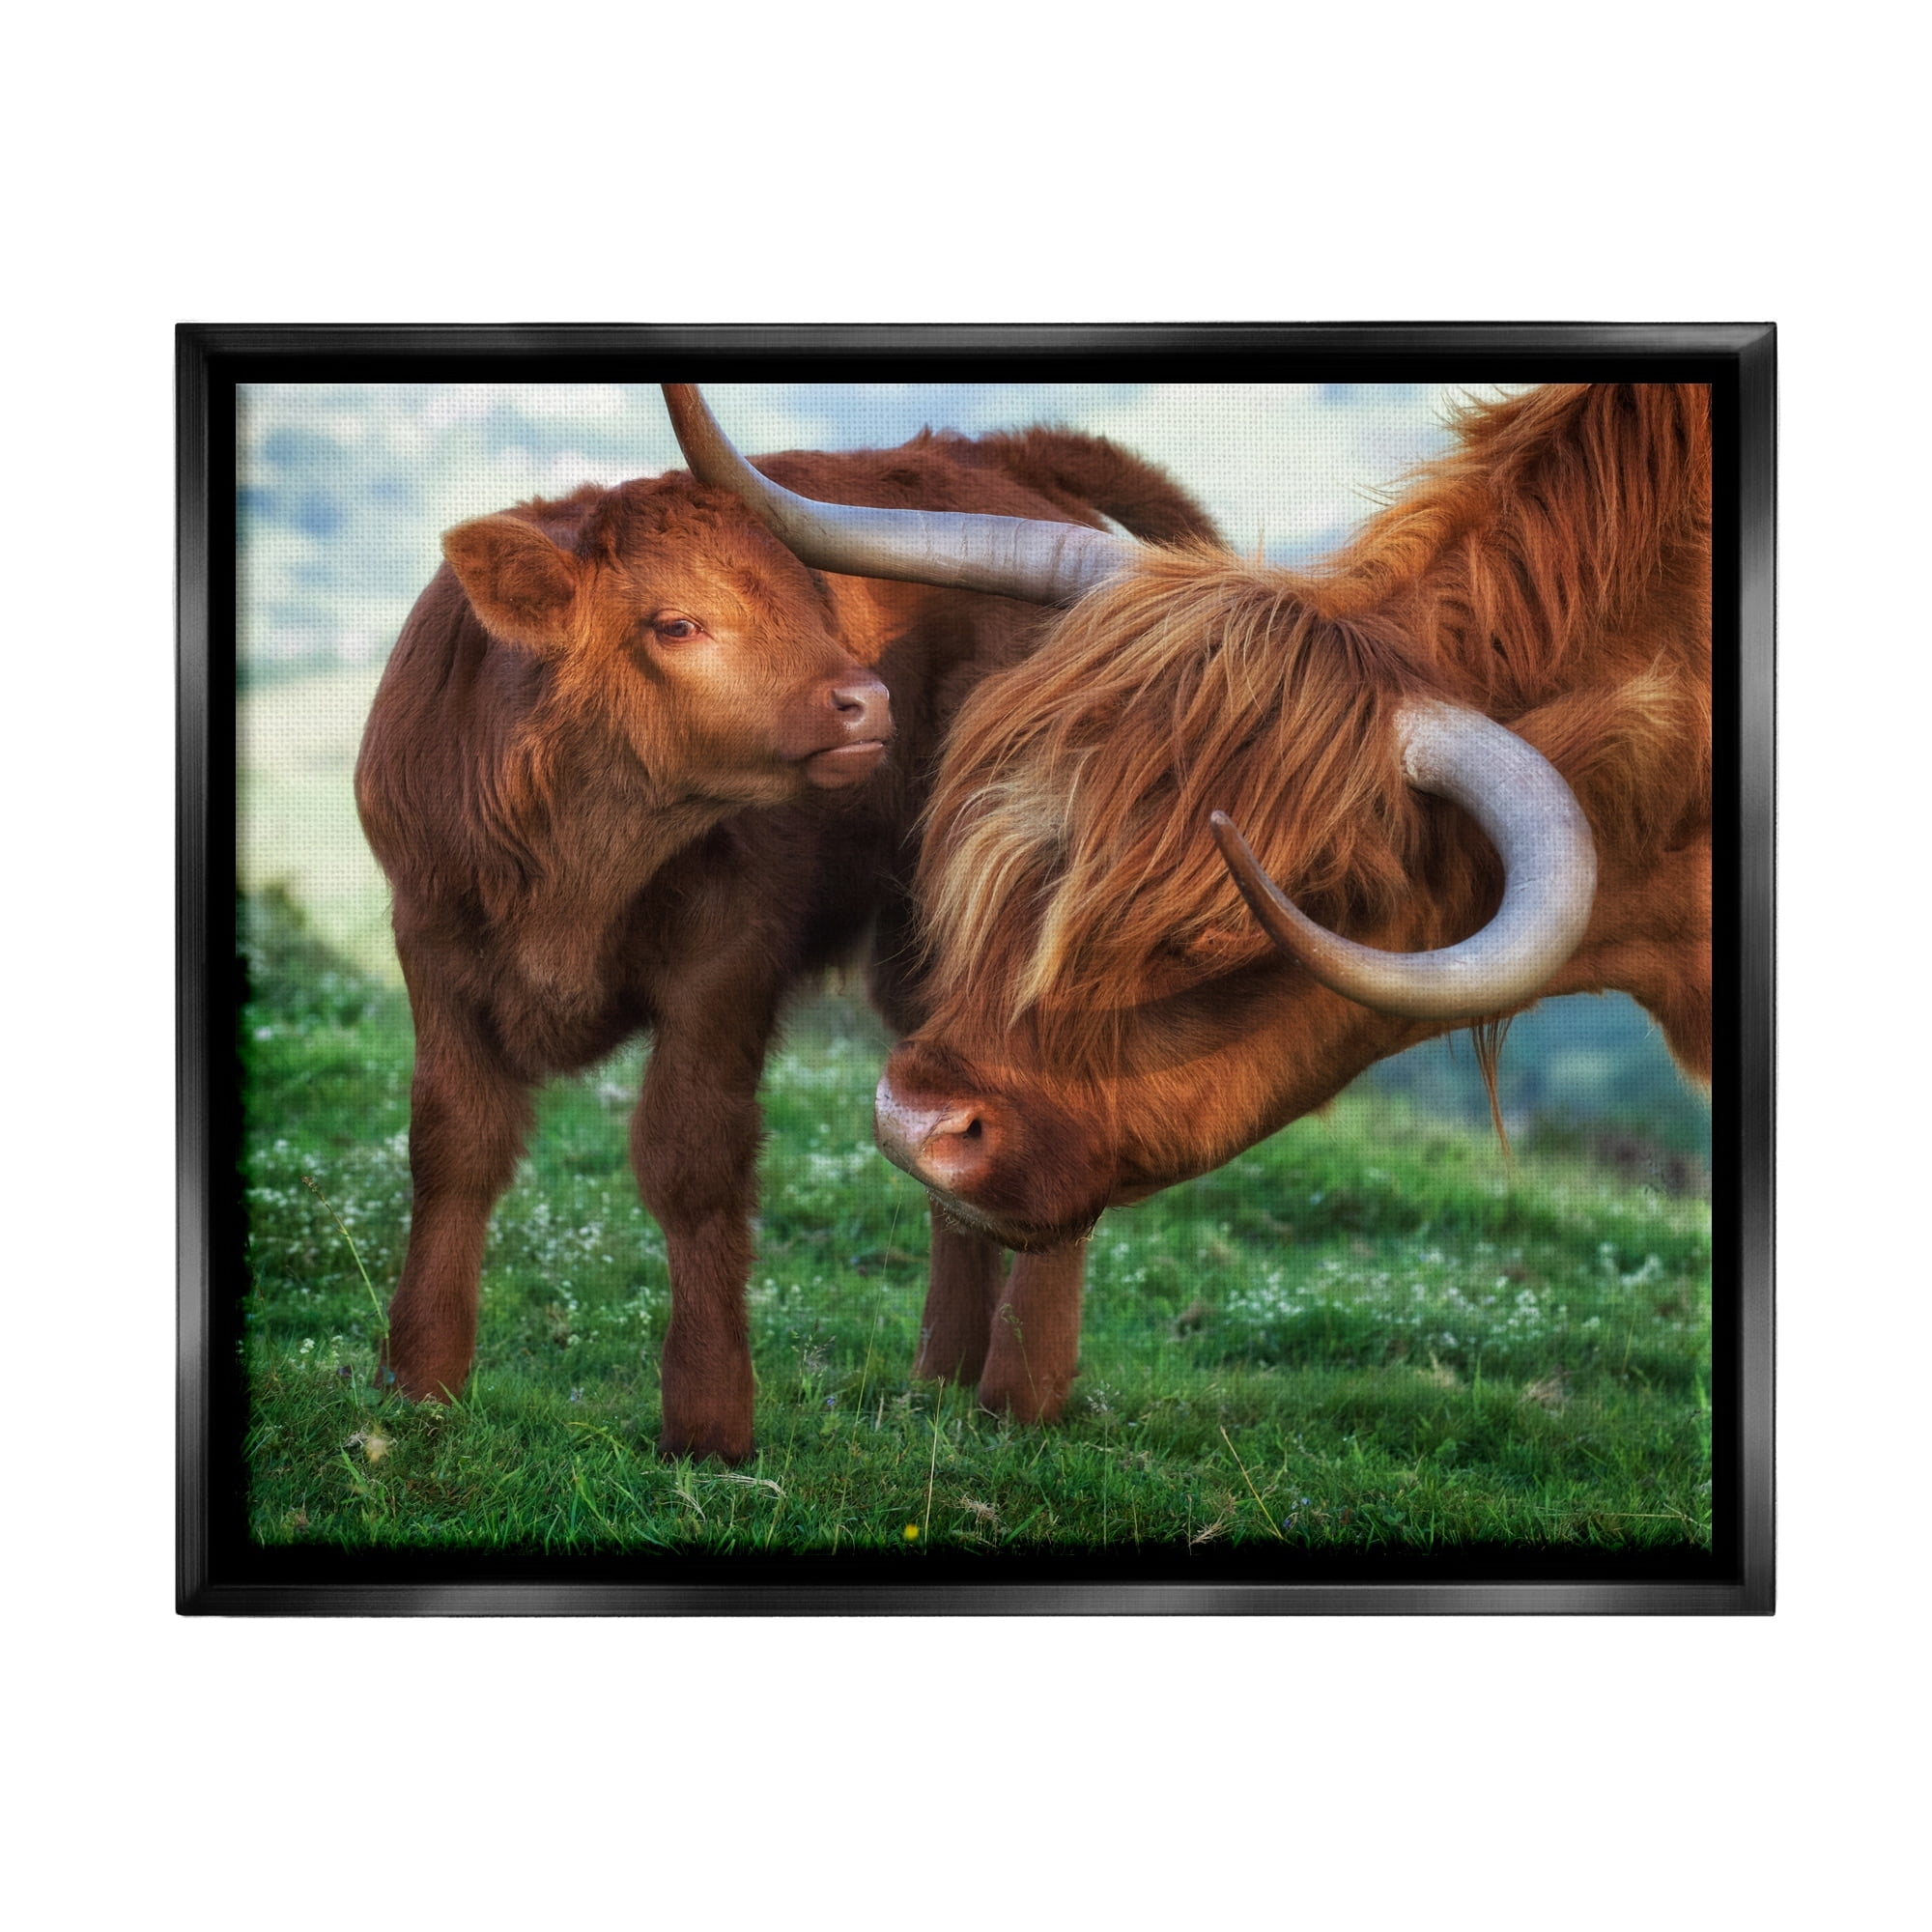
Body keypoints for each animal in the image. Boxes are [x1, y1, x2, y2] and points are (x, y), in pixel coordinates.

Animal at [353, 397, 1217, 1462]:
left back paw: (1020, 1391)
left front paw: (709, 1420)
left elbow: (690, 1161)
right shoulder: (431, 944)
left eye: (814, 604)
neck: (576, 861)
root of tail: (998, 455)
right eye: (675, 623)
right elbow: (452, 1146)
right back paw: (942, 1372)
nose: (867, 699)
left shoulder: (726, 959)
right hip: (917, 944)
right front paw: (419, 1383)